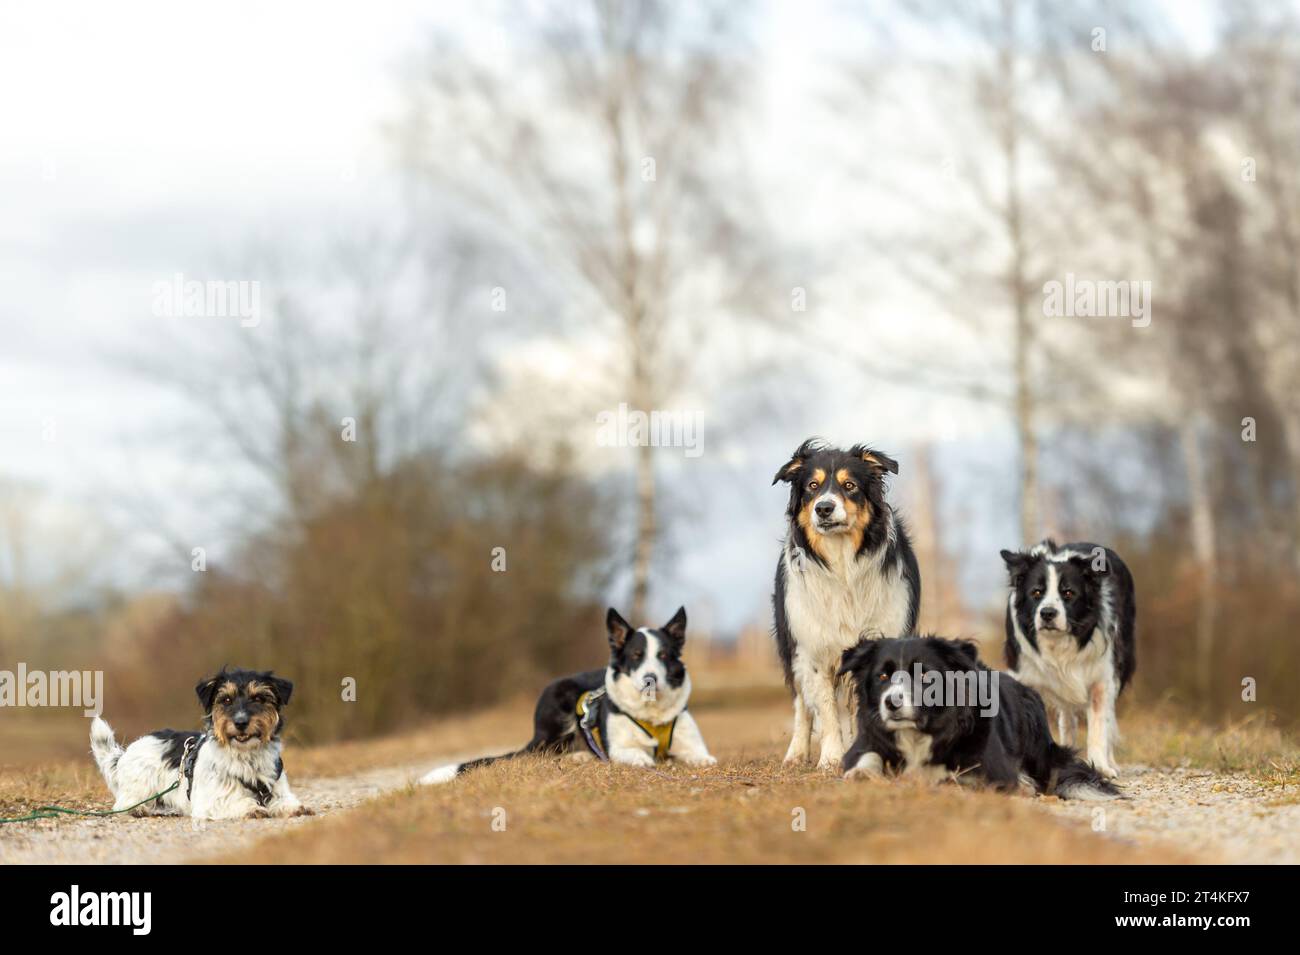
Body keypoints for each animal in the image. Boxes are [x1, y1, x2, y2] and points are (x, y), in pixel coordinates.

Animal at [90, 665, 308, 821]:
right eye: (226, 700)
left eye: (259, 698)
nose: (240, 722)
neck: (246, 754)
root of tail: (125, 754)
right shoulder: (211, 800)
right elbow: (233, 801)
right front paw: (250, 807)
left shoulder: (277, 787)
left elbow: (283, 800)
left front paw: (292, 807)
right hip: (140, 788)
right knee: (124, 805)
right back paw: (140, 809)